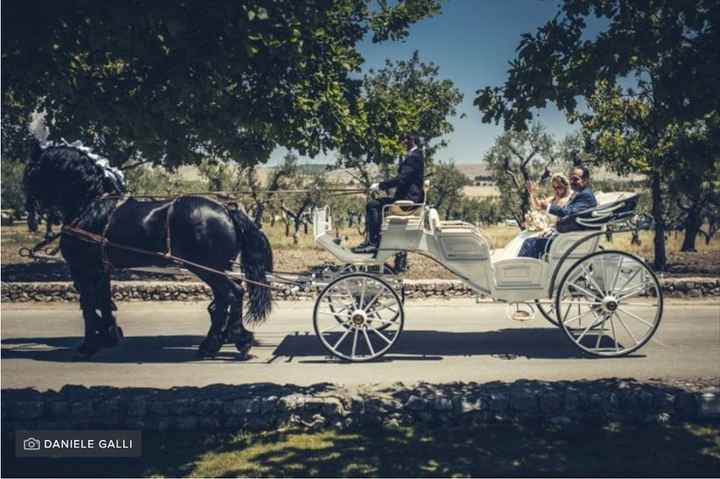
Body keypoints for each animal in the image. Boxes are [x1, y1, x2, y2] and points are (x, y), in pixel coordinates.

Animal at [23, 142, 272, 360]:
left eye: (30, 172)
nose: (32, 214)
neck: (90, 205)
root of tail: (226, 210)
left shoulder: (83, 268)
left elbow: (89, 304)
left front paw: (88, 345)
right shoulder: (102, 269)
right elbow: (103, 301)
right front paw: (109, 336)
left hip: (208, 268)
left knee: (231, 294)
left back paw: (228, 342)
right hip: (220, 268)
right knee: (226, 298)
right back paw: (220, 343)